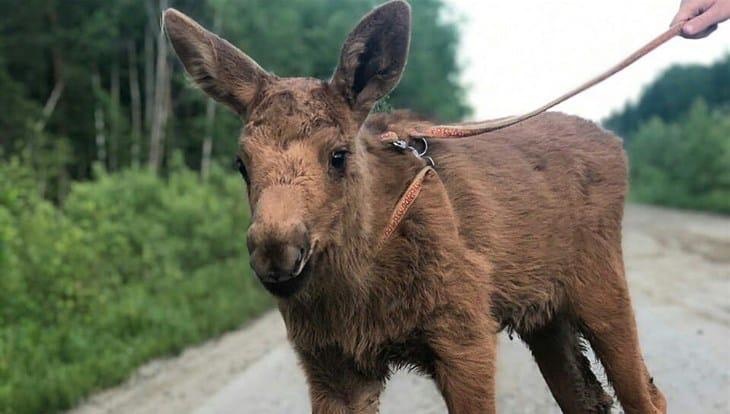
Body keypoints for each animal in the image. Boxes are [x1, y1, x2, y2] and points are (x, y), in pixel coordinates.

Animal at [164, 1, 666, 413]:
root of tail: (616, 146)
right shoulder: (331, 365)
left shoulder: (466, 334)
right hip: (546, 318)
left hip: (602, 287)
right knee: (590, 399)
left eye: (338, 154)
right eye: (242, 163)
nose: (276, 253)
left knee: (647, 397)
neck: (360, 285)